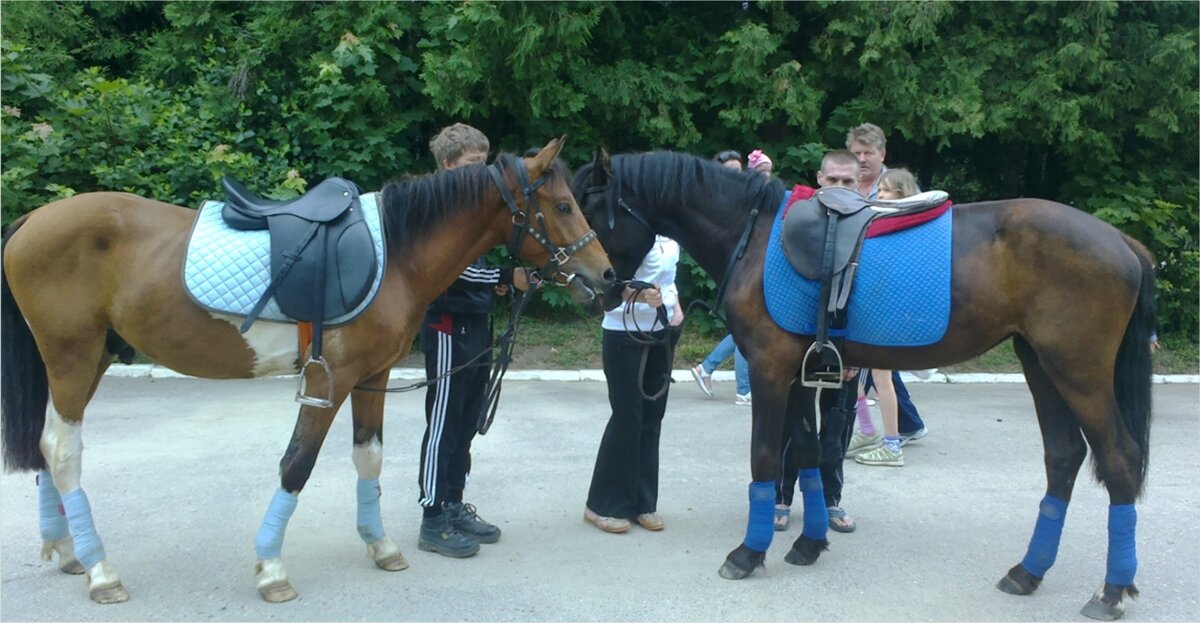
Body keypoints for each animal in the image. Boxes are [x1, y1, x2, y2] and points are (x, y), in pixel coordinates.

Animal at [0, 136, 614, 604]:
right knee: (62, 449)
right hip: (72, 356)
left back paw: (69, 552)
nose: (607, 278)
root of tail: (31, 220)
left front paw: (381, 546)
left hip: (92, 358)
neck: (396, 253)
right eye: (563, 206)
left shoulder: (372, 377)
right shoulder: (330, 381)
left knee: (48, 445)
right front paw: (271, 570)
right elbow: (297, 464)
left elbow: (369, 457)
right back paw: (102, 571)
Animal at [576, 150, 1156, 619]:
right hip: (1039, 363)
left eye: (582, 207)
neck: (755, 236)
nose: (590, 283)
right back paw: (1028, 572)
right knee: (1063, 457)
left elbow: (764, 457)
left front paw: (749, 552)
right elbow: (807, 453)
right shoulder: (797, 374)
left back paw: (1111, 590)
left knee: (1120, 459)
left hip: (1076, 371)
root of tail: (1121, 241)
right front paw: (809, 544)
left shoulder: (768, 369)